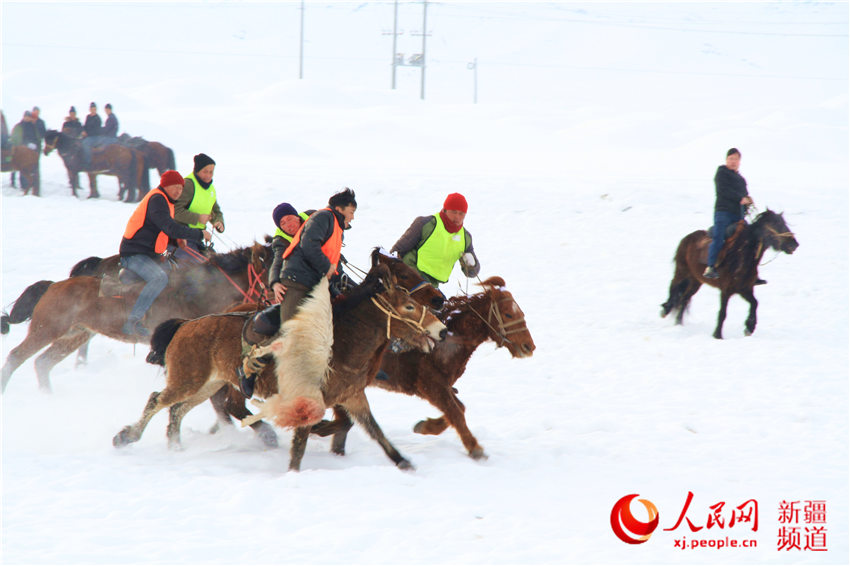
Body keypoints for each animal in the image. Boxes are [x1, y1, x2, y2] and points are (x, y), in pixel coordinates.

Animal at [0, 242, 272, 392]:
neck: (198, 290)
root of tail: (52, 286)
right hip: (46, 329)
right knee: (16, 356)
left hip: (74, 335)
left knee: (42, 363)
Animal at [113, 262, 448, 474]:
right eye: (408, 306)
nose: (442, 330)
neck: (342, 340)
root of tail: (186, 325)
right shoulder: (307, 401)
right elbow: (300, 443)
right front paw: (293, 472)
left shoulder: (353, 396)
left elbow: (375, 431)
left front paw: (403, 462)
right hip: (188, 380)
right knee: (158, 400)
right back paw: (127, 437)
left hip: (208, 383)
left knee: (177, 410)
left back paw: (175, 446)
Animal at [312, 278, 536, 462]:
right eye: (508, 314)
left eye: (521, 313)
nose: (529, 347)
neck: (448, 339)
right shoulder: (430, 385)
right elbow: (456, 412)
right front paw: (475, 448)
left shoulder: (442, 386)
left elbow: (459, 408)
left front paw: (426, 426)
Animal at [664, 210, 796, 340]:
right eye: (776, 223)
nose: (794, 244)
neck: (741, 256)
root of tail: (687, 238)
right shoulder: (726, 290)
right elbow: (723, 313)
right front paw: (718, 335)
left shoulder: (745, 289)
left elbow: (755, 303)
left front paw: (749, 327)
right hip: (682, 271)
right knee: (673, 285)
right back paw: (666, 309)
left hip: (696, 280)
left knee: (684, 298)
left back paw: (679, 323)